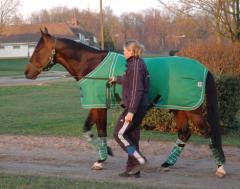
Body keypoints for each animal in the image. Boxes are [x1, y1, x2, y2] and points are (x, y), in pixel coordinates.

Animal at [24, 27, 227, 177]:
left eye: (37, 50)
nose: (27, 73)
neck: (91, 65)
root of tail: (204, 69)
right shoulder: (96, 104)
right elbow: (87, 129)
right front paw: (107, 152)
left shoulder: (99, 107)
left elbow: (101, 131)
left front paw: (101, 160)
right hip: (179, 109)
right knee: (184, 134)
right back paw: (167, 164)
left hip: (192, 110)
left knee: (208, 132)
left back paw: (220, 168)